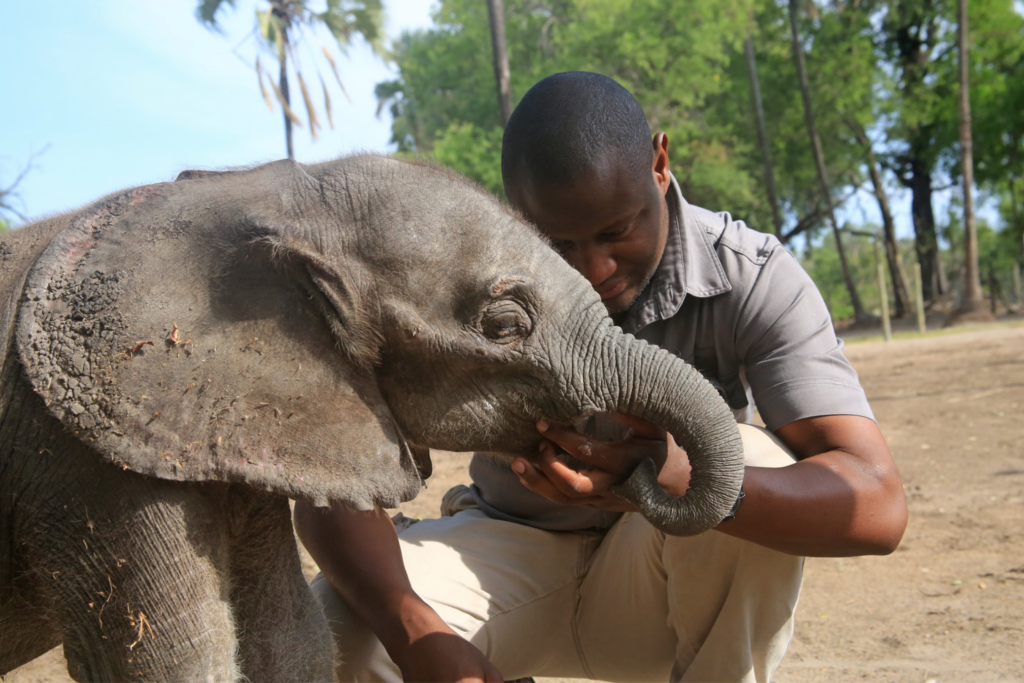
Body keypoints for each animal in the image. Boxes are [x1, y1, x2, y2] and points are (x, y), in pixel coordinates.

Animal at [0, 155, 744, 681]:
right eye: (506, 323)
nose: (645, 462)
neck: (260, 195)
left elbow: (291, 643)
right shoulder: (82, 458)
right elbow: (177, 661)